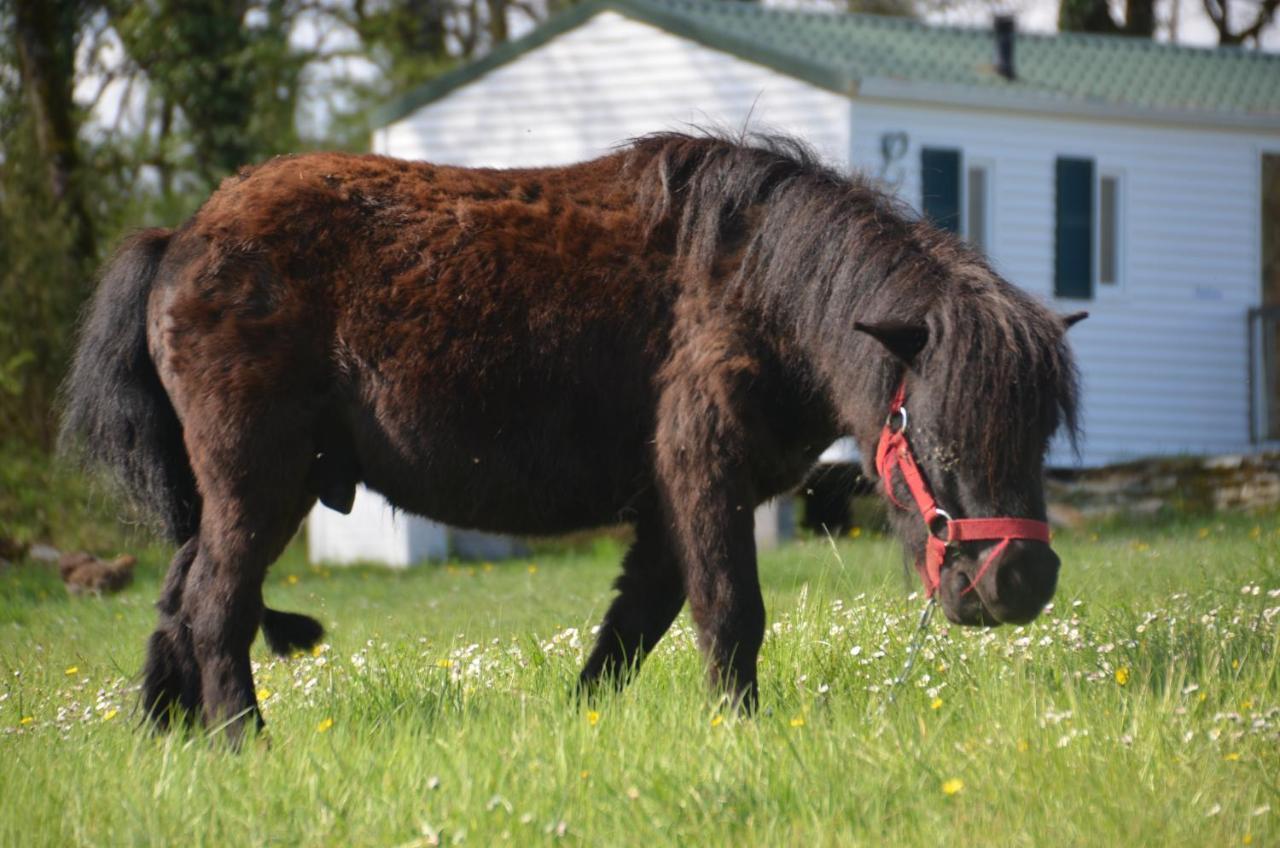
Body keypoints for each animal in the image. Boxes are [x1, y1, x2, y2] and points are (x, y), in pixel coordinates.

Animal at [62, 133, 1080, 742]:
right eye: (939, 434)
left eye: (1037, 438)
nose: (1022, 582)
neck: (760, 286)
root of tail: (181, 236)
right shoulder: (703, 480)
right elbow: (730, 617)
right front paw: (741, 736)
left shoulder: (673, 505)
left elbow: (632, 631)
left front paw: (580, 731)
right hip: (258, 484)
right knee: (213, 609)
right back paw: (243, 743)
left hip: (229, 494)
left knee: (176, 601)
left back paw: (164, 739)